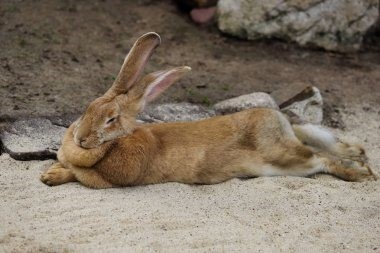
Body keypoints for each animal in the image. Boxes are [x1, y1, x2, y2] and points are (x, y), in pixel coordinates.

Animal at [40, 32, 376, 188]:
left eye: (111, 119)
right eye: (87, 109)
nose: (81, 139)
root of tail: (280, 120)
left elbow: (77, 174)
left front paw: (50, 176)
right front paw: (50, 173)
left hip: (286, 157)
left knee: (322, 158)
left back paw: (361, 175)